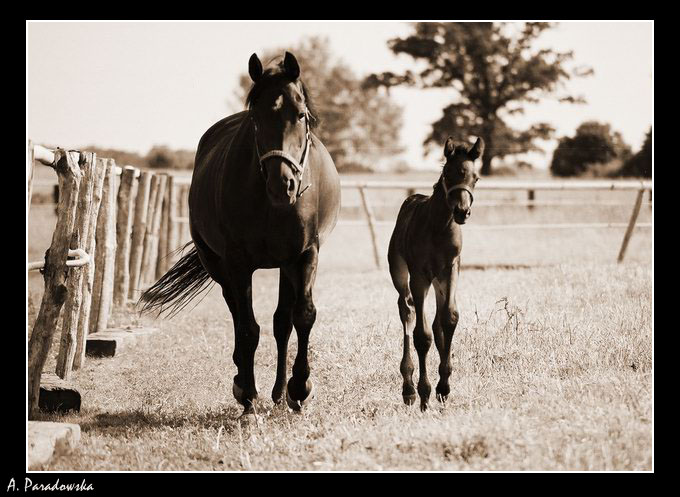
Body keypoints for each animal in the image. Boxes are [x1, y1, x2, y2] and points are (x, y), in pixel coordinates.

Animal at [388, 137, 484, 410]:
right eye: (448, 174)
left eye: (476, 178)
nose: (462, 212)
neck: (438, 227)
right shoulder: (419, 275)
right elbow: (422, 336)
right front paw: (424, 393)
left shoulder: (450, 270)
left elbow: (448, 319)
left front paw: (444, 387)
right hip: (400, 273)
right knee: (407, 310)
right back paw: (408, 388)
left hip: (439, 281)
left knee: (437, 321)